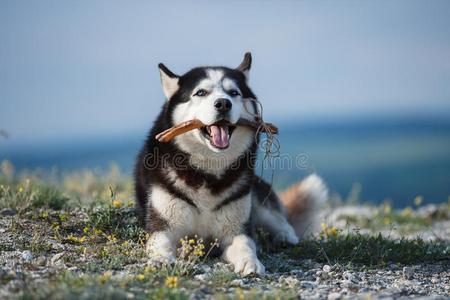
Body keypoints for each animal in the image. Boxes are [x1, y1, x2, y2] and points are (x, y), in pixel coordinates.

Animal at [134, 52, 326, 276]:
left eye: (233, 93)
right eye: (200, 92)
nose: (223, 103)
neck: (208, 172)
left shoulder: (236, 229)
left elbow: (245, 244)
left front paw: (251, 262)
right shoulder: (163, 225)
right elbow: (159, 243)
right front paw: (161, 260)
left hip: (255, 195)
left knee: (278, 218)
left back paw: (285, 237)